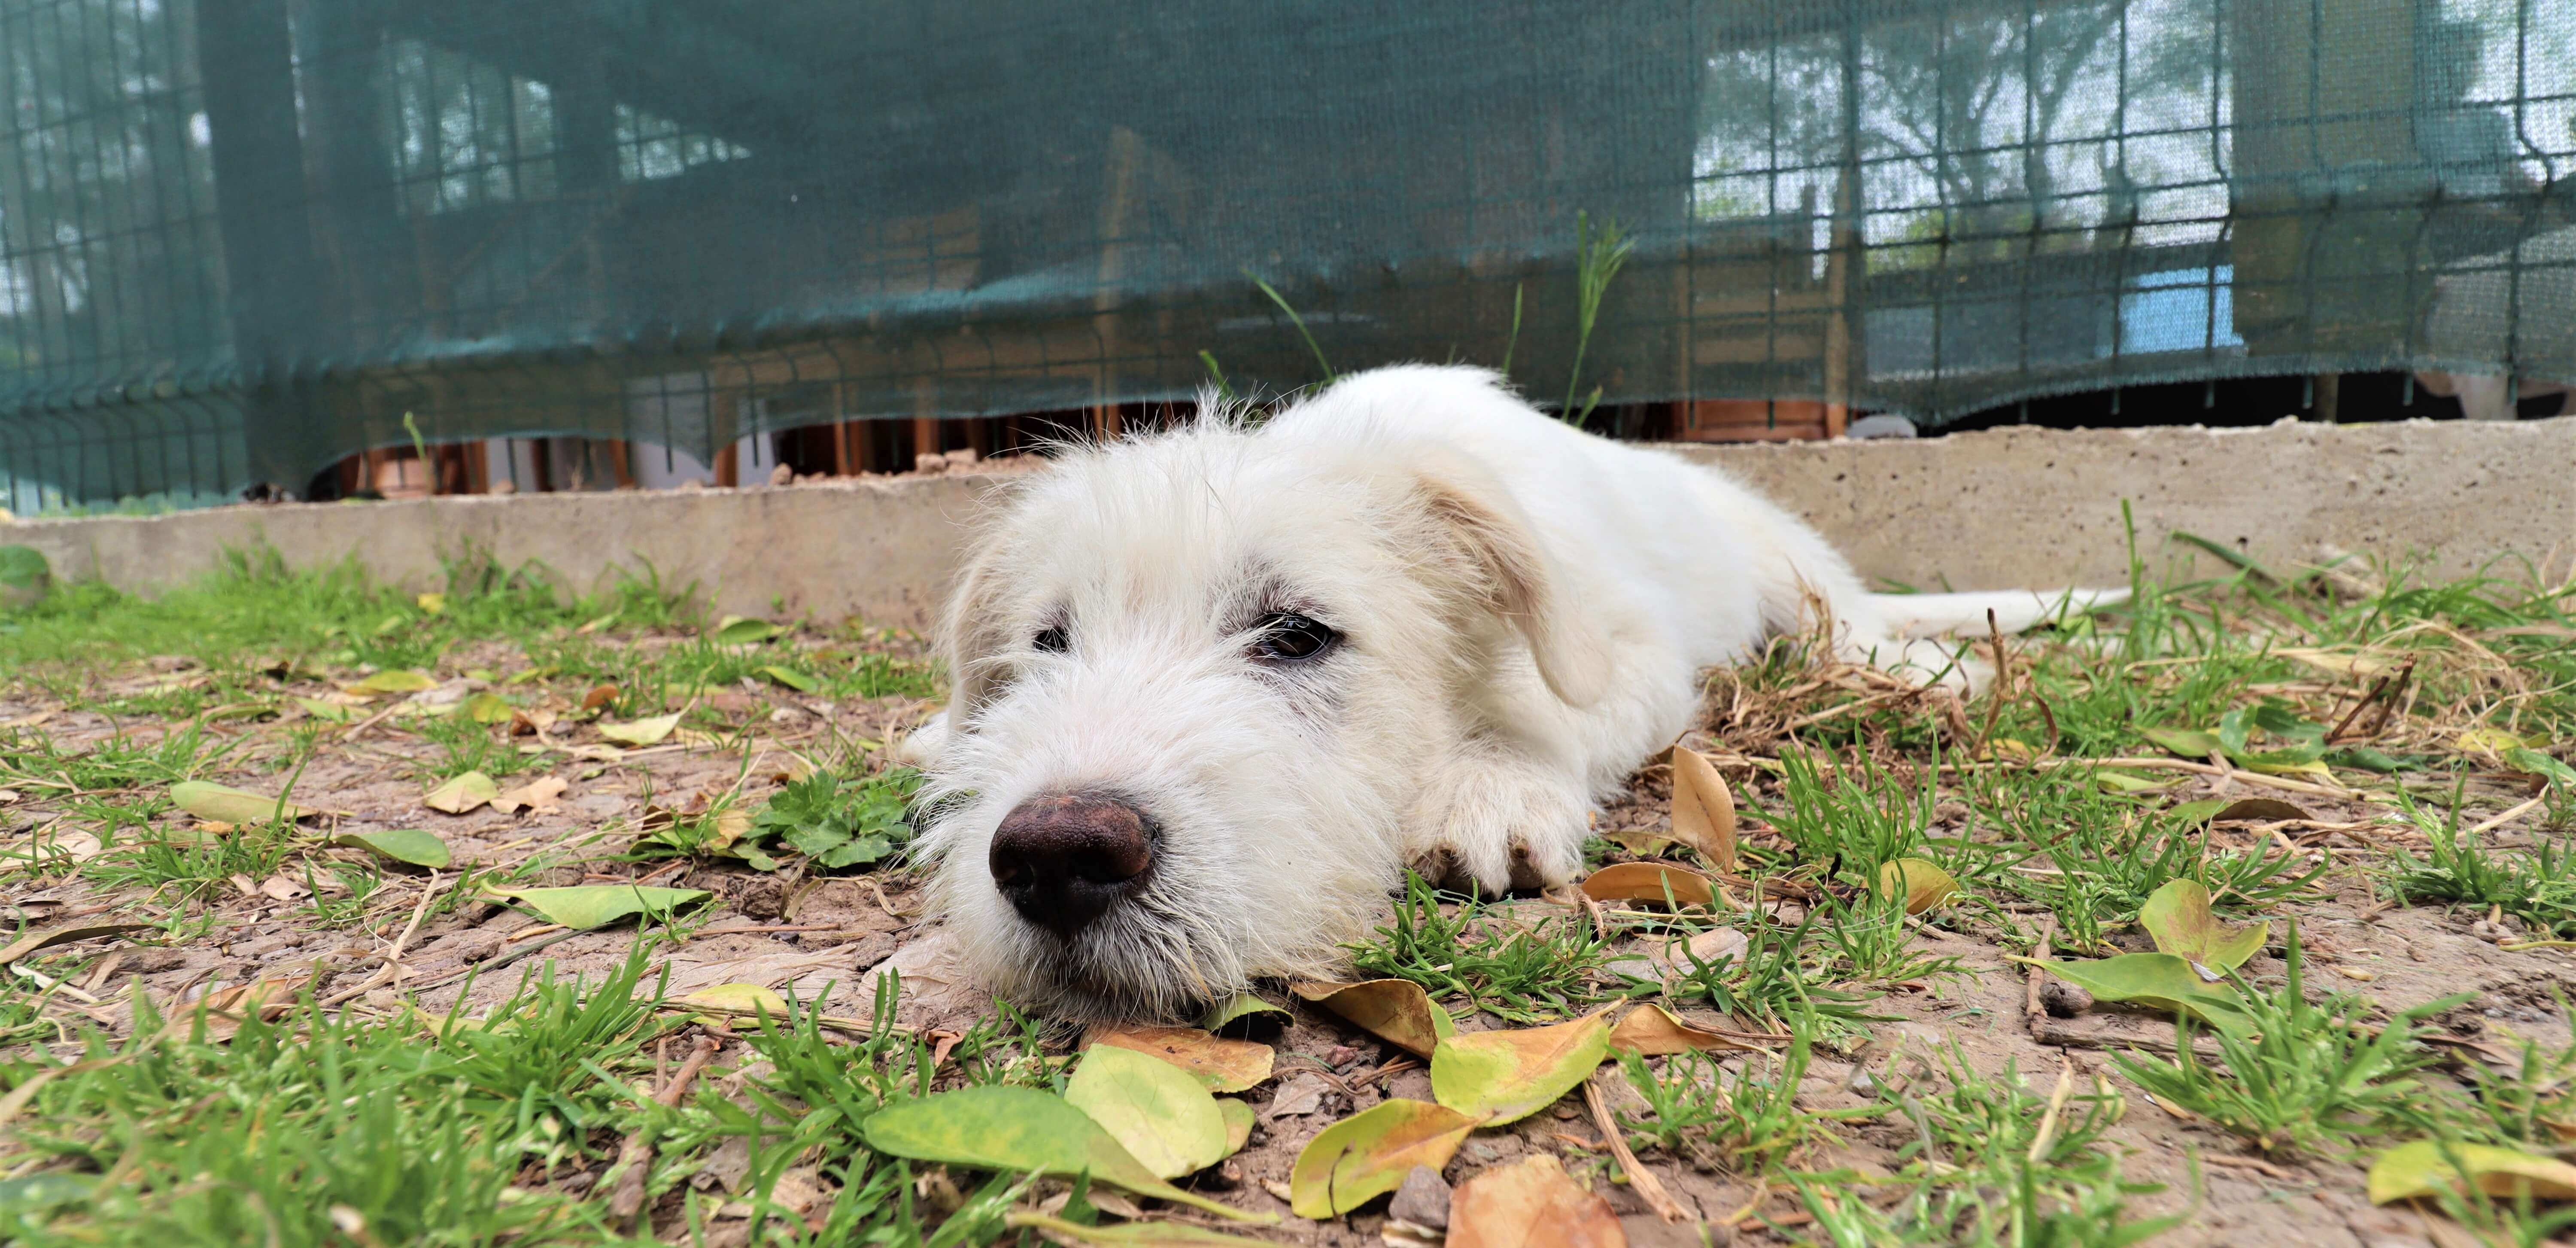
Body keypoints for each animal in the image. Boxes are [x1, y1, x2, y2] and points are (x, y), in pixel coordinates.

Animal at [907, 366, 2112, 1021]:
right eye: (1049, 642)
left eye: (1297, 634)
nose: (1055, 853)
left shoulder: (1633, 653)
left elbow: (1552, 712)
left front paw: (1491, 792)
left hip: (1787, 563)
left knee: (1851, 623)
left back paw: (1927, 669)